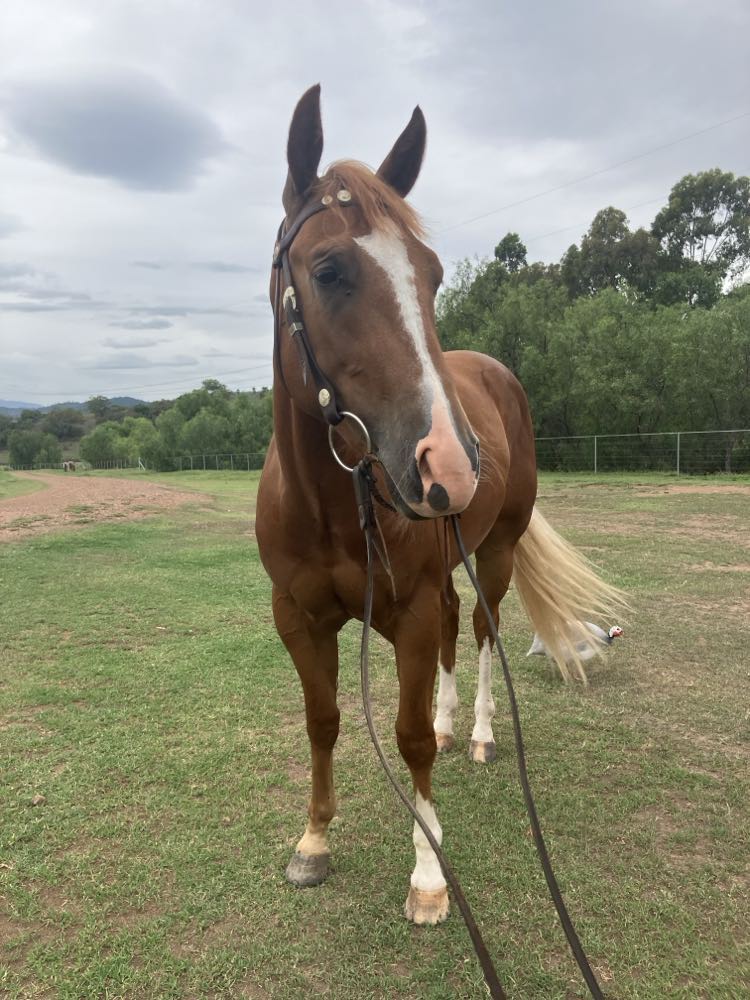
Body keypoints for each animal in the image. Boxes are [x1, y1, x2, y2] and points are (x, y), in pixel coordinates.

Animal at [256, 85, 623, 926]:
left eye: (432, 273)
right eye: (329, 269)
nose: (451, 465)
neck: (331, 503)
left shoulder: (414, 610)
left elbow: (408, 736)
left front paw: (428, 873)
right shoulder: (298, 617)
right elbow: (324, 721)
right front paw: (313, 841)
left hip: (495, 549)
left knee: (482, 629)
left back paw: (480, 732)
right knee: (461, 630)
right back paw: (458, 725)